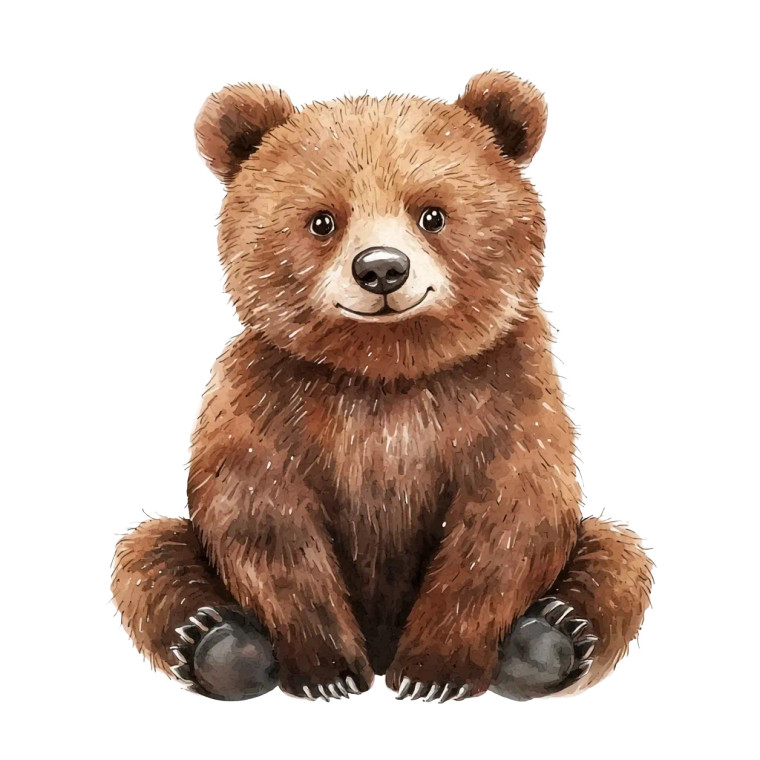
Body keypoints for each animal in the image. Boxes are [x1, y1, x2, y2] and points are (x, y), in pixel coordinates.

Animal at [111, 71, 653, 703]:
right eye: (323, 219)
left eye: (432, 214)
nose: (381, 269)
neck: (386, 371)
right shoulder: (266, 400)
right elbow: (261, 520)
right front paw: (328, 671)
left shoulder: (505, 394)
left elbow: (511, 517)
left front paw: (434, 670)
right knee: (147, 551)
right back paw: (218, 643)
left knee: (619, 554)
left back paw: (548, 639)